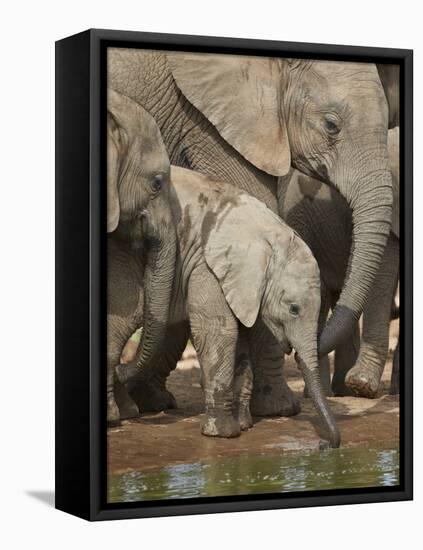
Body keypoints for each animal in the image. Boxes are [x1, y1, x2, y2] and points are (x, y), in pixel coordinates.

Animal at [117, 165, 342, 448]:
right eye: (293, 309)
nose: (325, 444)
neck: (268, 233)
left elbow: (241, 337)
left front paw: (243, 425)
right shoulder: (206, 264)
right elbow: (220, 332)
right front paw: (223, 433)